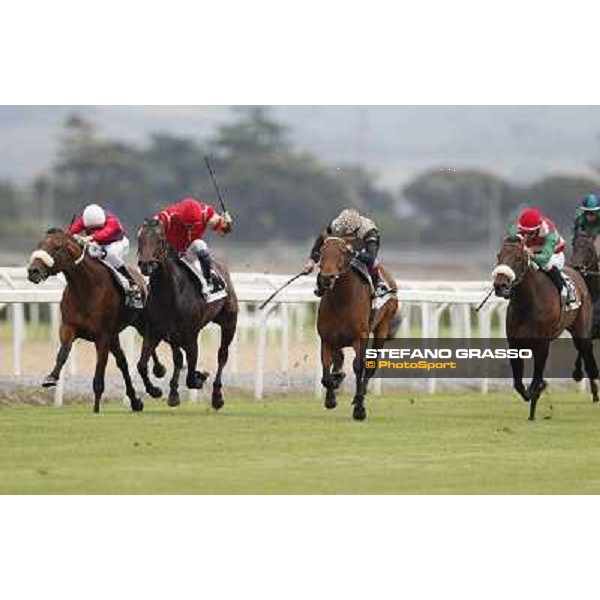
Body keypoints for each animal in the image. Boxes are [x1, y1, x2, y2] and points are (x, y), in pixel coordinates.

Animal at [27, 229, 165, 412]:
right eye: (39, 245)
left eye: (57, 247)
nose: (33, 271)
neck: (86, 289)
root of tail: (141, 278)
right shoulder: (69, 328)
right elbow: (63, 353)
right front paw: (51, 377)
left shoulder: (102, 337)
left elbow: (99, 371)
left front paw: (96, 409)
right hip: (115, 335)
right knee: (123, 362)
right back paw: (136, 400)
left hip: (139, 323)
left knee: (149, 343)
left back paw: (156, 379)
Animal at [137, 218, 238, 410]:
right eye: (139, 238)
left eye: (160, 239)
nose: (146, 265)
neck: (169, 293)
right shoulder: (155, 332)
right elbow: (142, 365)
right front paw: (156, 390)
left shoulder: (191, 335)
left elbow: (191, 376)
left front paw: (199, 377)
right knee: (179, 358)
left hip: (229, 322)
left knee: (222, 355)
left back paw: (217, 396)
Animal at [492, 237, 596, 420]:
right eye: (499, 256)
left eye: (518, 258)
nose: (500, 285)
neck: (527, 303)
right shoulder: (514, 345)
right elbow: (519, 384)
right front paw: (536, 392)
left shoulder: (541, 345)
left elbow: (536, 380)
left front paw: (537, 394)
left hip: (581, 330)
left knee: (586, 349)